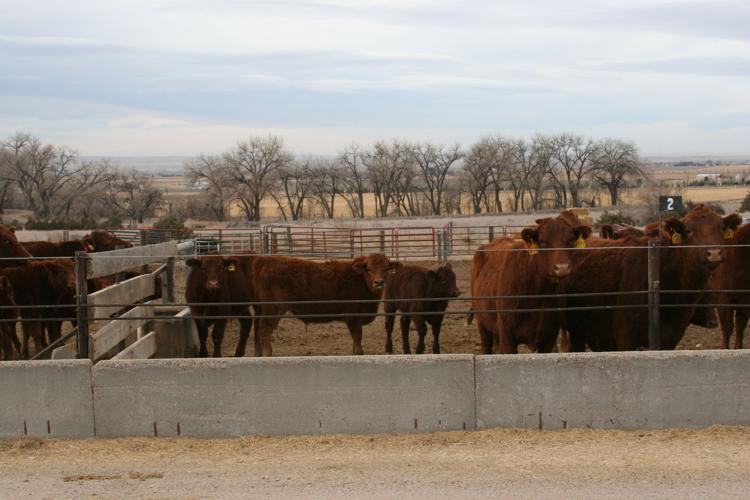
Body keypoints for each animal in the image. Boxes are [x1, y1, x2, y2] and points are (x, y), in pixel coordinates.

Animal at [251, 253, 402, 356]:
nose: (379, 282)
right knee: (264, 330)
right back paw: (268, 354)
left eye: (387, 269)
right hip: (273, 310)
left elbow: (355, 345)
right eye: (369, 269)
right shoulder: (353, 319)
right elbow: (358, 344)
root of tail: (266, 261)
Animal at [469, 211, 592, 354]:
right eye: (543, 241)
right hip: (482, 323)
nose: (562, 268)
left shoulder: (548, 337)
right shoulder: (507, 335)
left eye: (571, 240)